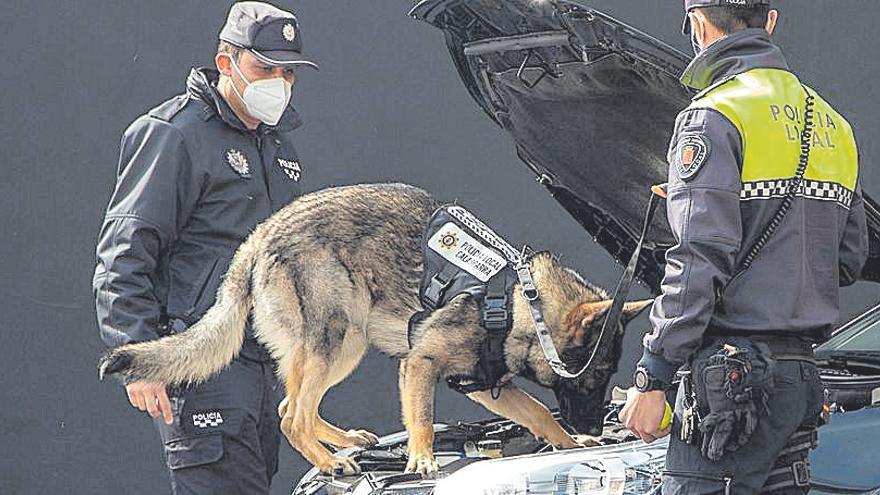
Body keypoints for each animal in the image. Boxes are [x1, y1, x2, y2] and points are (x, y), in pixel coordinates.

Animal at [103, 184, 652, 478]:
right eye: (595, 375)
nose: (595, 427)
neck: (521, 304)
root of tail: (258, 236)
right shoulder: (420, 365)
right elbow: (423, 418)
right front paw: (423, 461)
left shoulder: (483, 386)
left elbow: (537, 411)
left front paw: (569, 442)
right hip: (333, 338)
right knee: (291, 417)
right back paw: (330, 462)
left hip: (346, 345)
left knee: (289, 406)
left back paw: (341, 441)